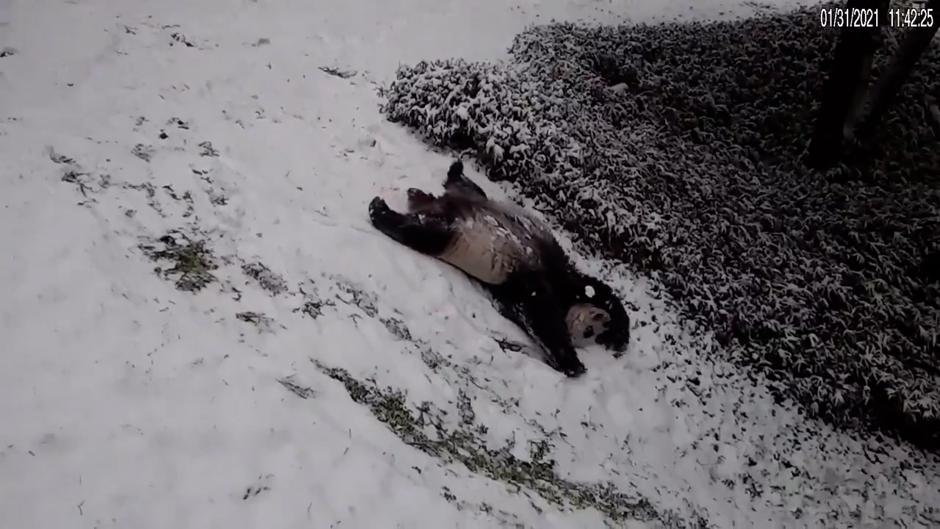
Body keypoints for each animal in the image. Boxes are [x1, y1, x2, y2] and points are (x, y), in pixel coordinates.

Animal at [367, 160, 630, 376]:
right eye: (590, 331)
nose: (585, 330)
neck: (566, 303)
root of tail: (435, 202)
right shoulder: (549, 278)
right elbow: (549, 310)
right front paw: (574, 361)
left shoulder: (515, 290)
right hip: (458, 233)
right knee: (423, 231)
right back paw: (381, 208)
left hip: (466, 214)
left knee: (454, 199)